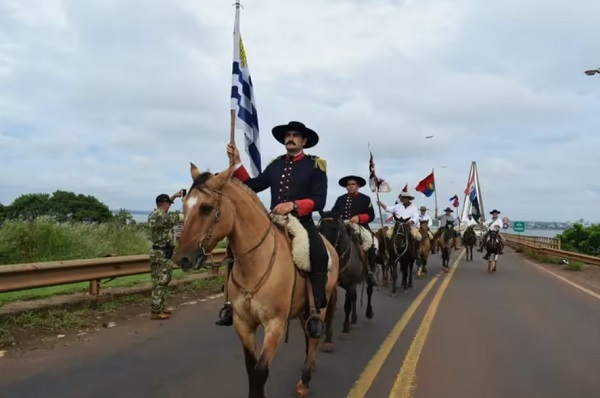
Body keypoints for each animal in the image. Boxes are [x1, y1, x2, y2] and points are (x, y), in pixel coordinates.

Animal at [175, 162, 342, 398]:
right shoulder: (243, 323)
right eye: (185, 208)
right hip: (303, 310)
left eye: (206, 208)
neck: (255, 263)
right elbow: (250, 369)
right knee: (308, 336)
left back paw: (305, 380)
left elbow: (261, 371)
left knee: (313, 338)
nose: (182, 258)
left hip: (321, 305)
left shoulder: (275, 325)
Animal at [316, 211, 372, 346]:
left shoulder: (351, 284)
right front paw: (328, 337)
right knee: (354, 299)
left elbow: (347, 306)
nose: (326, 250)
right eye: (320, 228)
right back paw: (354, 320)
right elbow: (331, 309)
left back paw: (368, 313)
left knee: (368, 291)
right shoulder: (333, 287)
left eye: (334, 228)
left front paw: (345, 330)